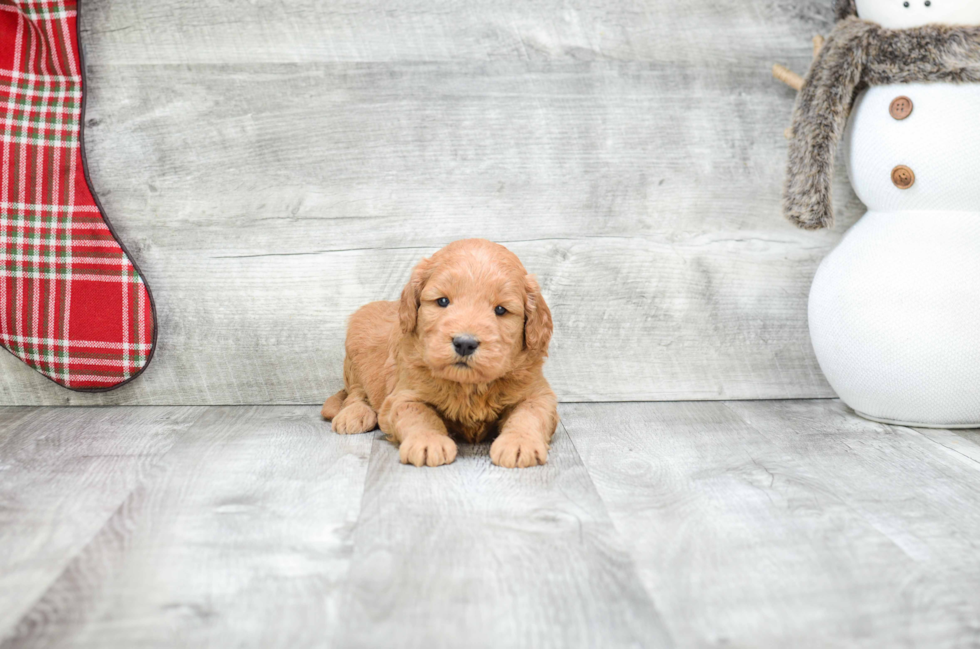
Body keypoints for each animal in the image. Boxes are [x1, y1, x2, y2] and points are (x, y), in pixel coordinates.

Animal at [320, 238, 556, 466]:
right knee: (356, 392)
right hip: (356, 347)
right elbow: (419, 413)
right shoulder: (404, 395)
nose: (464, 343)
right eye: (443, 301)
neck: (468, 386)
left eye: (500, 310)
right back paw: (353, 414)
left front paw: (519, 443)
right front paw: (428, 442)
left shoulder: (538, 393)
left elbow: (530, 413)